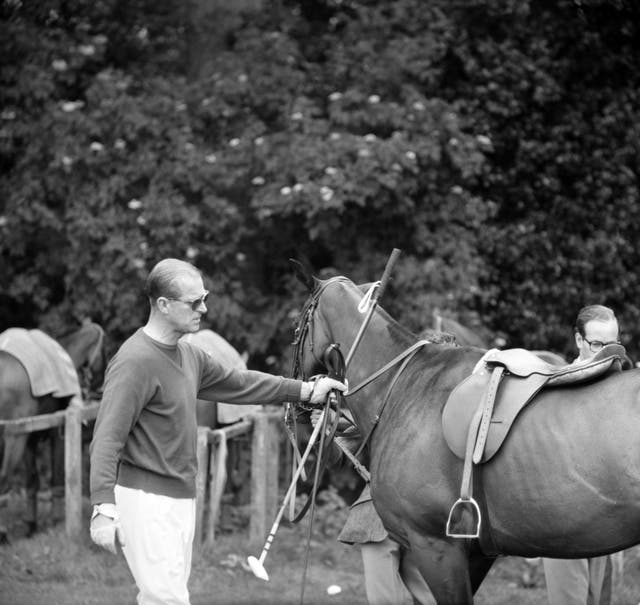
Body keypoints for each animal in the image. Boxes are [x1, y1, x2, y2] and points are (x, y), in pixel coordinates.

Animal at [0, 324, 106, 536]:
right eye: (104, 353)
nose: (99, 391)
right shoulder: (58, 431)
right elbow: (57, 477)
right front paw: (56, 522)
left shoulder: (30, 437)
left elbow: (32, 481)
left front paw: (31, 525)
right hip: (13, 438)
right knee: (4, 478)